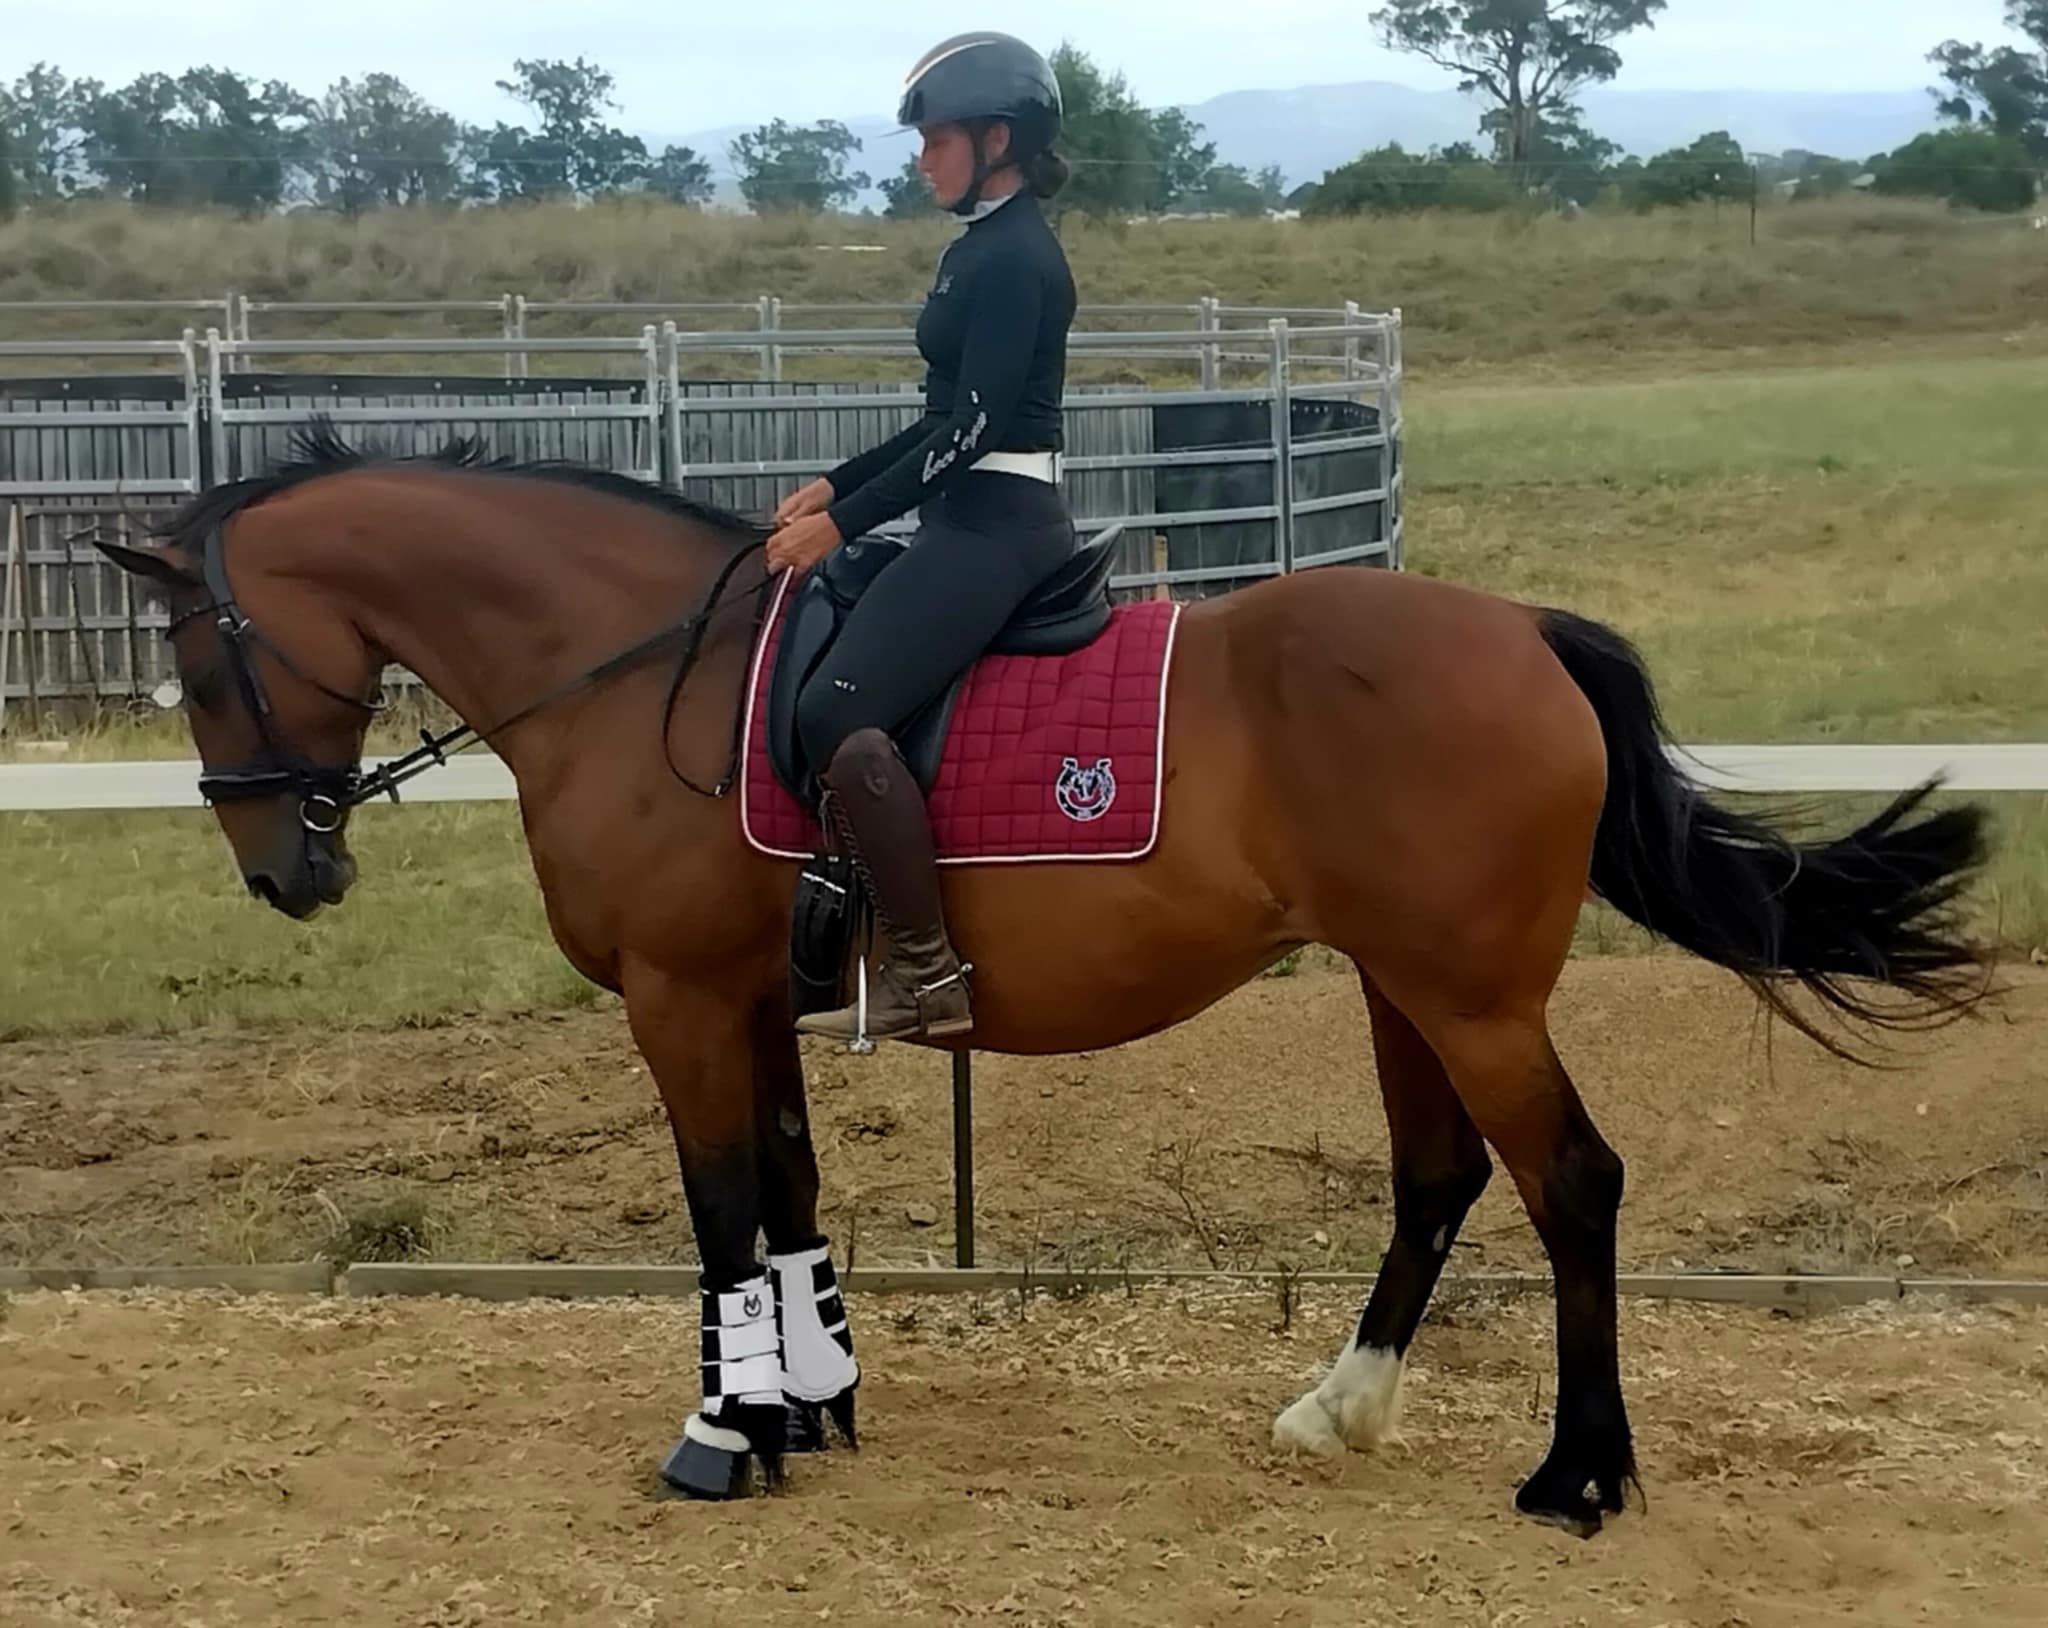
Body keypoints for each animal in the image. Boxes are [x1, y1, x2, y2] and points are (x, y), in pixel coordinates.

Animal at [94, 426, 1995, 1536]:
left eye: (194, 654)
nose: (283, 872)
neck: (639, 677)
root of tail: (1519, 628)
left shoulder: (677, 999)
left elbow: (718, 1216)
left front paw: (722, 1432)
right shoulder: (752, 1000)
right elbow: (790, 1198)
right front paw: (814, 1403)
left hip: (1468, 995)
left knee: (1571, 1182)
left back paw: (1577, 1472)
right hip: (1404, 982)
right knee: (1440, 1177)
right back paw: (1341, 1407)